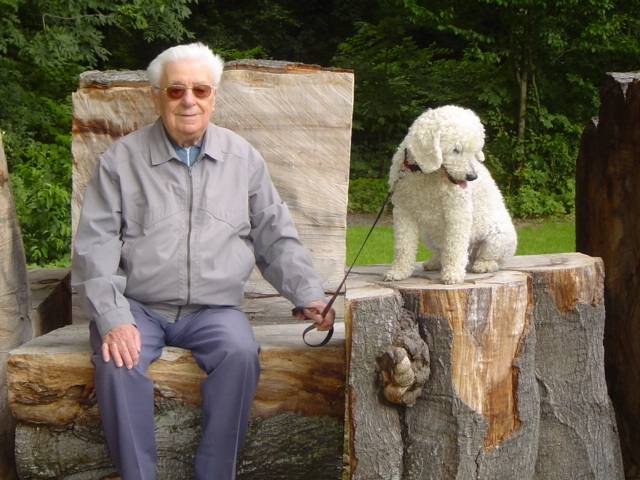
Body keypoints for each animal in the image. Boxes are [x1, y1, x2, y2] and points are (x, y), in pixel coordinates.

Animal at [384, 105, 517, 284]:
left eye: (474, 151)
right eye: (456, 150)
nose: (472, 177)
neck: (424, 173)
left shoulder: (457, 211)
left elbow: (455, 245)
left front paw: (452, 274)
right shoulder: (403, 210)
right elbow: (403, 245)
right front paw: (398, 271)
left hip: (498, 235)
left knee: (494, 258)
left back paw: (484, 265)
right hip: (428, 234)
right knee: (441, 252)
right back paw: (435, 262)